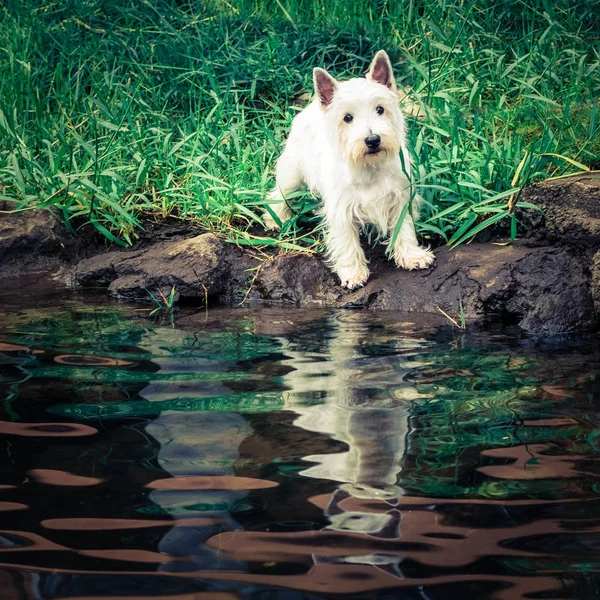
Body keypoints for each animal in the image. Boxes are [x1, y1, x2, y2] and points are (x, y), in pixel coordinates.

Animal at [264, 50, 434, 290]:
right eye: (347, 118)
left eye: (380, 109)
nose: (372, 140)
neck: (369, 166)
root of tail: (311, 106)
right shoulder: (341, 209)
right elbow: (347, 242)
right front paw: (353, 273)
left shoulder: (399, 198)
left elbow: (404, 228)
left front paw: (412, 256)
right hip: (292, 172)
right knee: (280, 193)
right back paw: (275, 218)